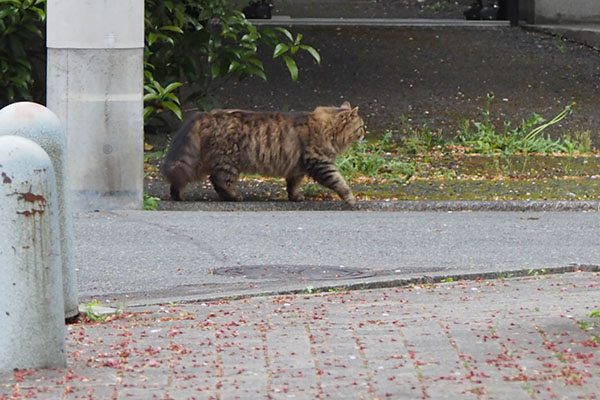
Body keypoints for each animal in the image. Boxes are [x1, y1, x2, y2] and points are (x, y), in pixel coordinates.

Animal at [162, 101, 364, 205]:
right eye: (361, 126)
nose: (365, 133)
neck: (328, 129)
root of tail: (205, 114)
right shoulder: (320, 163)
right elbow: (339, 182)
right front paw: (351, 199)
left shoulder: (297, 167)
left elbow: (293, 185)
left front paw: (295, 197)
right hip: (228, 162)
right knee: (219, 182)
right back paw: (234, 197)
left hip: (199, 163)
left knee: (179, 179)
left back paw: (178, 196)